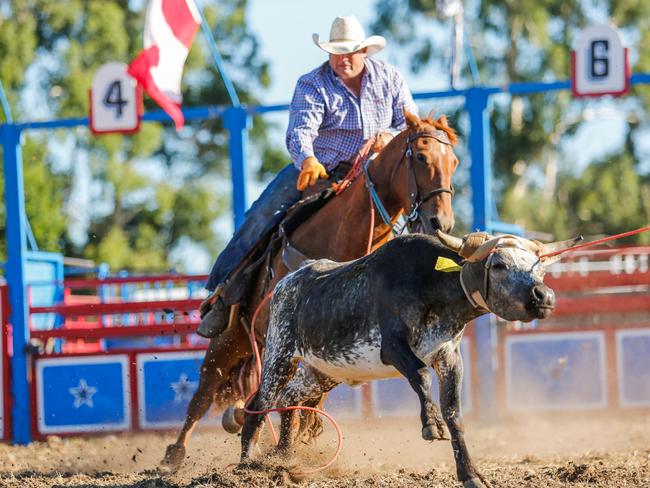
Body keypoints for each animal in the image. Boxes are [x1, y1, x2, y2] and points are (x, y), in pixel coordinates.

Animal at [160, 109, 458, 468]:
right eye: (421, 157)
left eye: (454, 162)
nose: (441, 223)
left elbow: (310, 398)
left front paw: (295, 440)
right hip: (233, 338)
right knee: (204, 392)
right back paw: (174, 454)